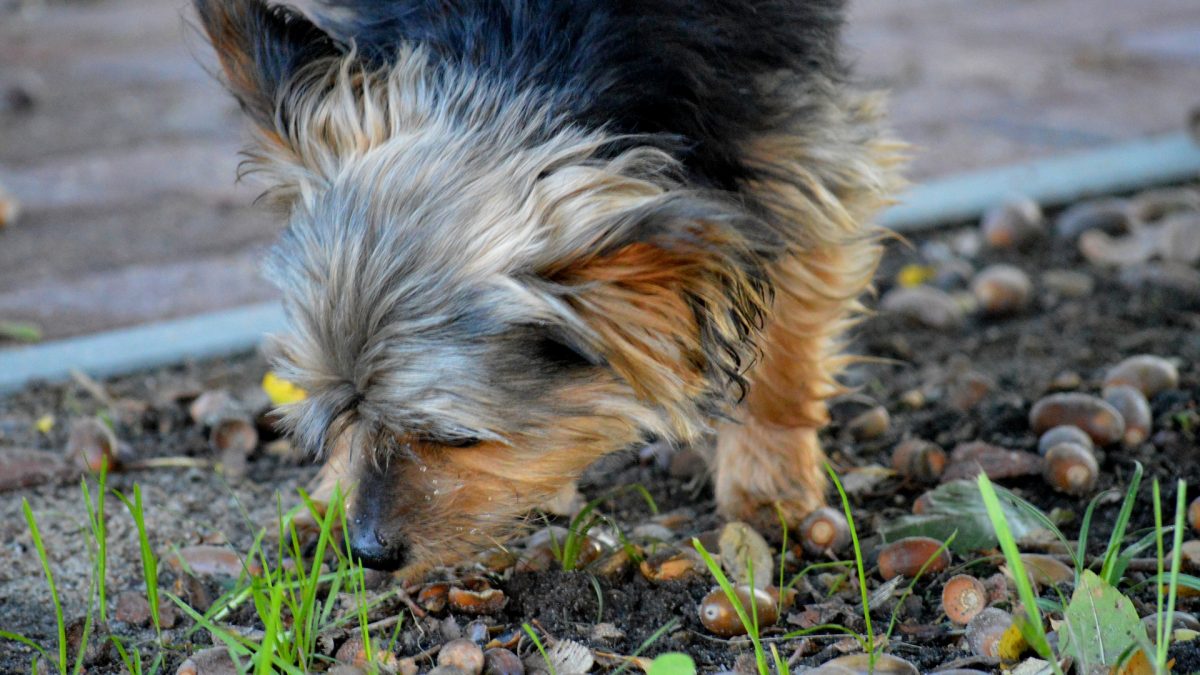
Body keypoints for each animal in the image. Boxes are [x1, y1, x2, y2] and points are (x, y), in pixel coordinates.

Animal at [194, 0, 902, 569]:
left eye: (456, 438)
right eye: (337, 411)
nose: (368, 553)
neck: (519, 49)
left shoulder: (791, 148)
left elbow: (786, 340)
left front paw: (769, 478)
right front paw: (332, 491)